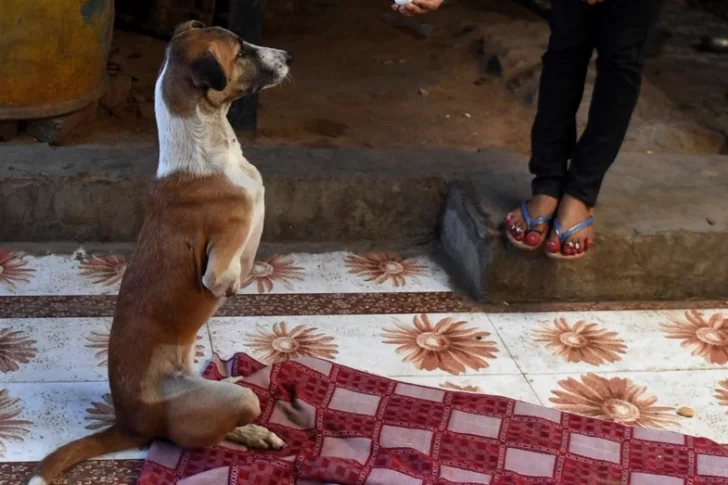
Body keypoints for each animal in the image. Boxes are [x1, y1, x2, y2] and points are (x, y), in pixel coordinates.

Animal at [26, 22, 292, 484]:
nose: (289, 57)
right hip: (233, 401)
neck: (204, 147)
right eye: (241, 51)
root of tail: (129, 423)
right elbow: (230, 271)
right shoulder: (221, 268)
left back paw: (253, 431)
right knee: (195, 435)